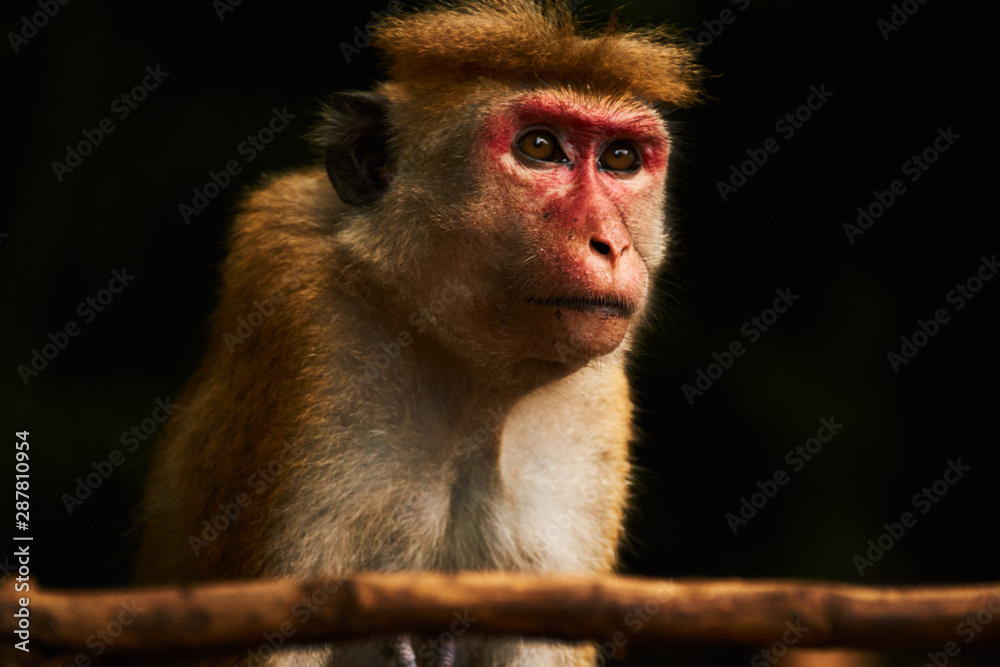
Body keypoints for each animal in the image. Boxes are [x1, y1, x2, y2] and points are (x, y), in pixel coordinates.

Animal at [135, 1, 703, 665]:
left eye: (620, 159)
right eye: (539, 146)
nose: (609, 244)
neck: (474, 387)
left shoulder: (591, 404)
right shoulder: (309, 332)